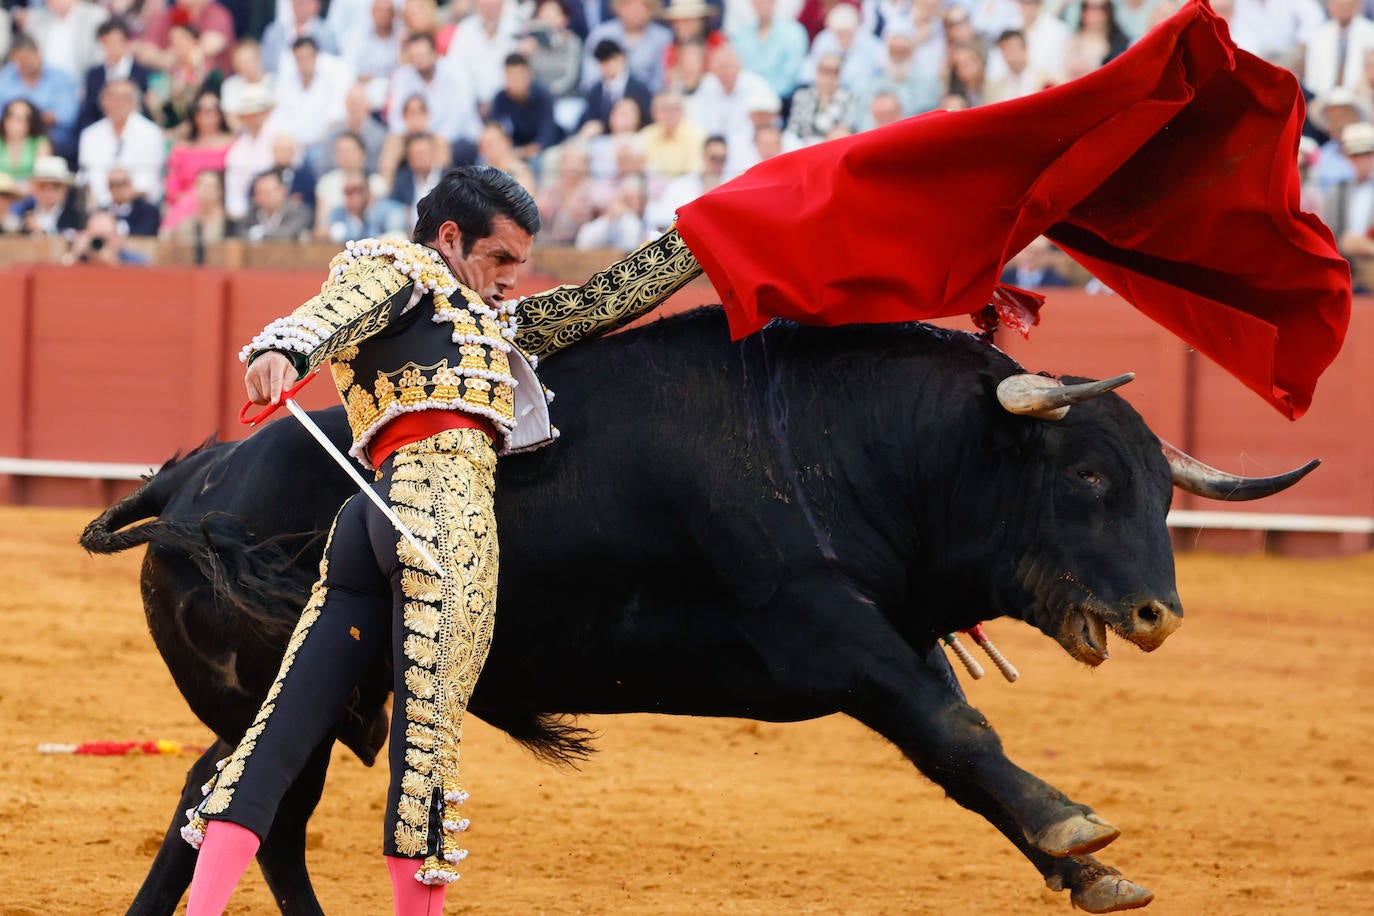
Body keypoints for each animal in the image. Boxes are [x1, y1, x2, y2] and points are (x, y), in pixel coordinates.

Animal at [83, 307, 1308, 911]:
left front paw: (1090, 872)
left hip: (320, 704)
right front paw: (1076, 831)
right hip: (287, 693)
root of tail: (190, 485)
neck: (832, 442)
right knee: (235, 804)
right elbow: (959, 733)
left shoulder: (889, 634)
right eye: (1087, 478)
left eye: (1160, 490)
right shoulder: (832, 633)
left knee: (240, 811)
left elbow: (956, 740)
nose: (1157, 613)